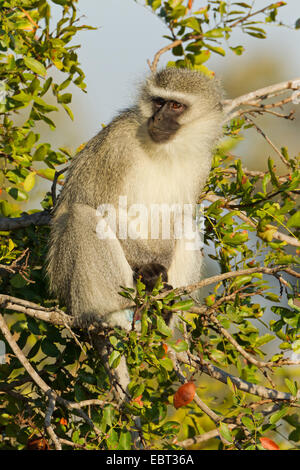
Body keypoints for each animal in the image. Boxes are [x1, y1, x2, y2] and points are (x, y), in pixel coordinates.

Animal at [47, 69, 223, 400]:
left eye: (175, 105)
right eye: (157, 101)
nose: (158, 118)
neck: (166, 151)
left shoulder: (200, 163)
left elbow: (178, 217)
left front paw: (159, 280)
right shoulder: (117, 146)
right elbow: (95, 203)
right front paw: (150, 271)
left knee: (189, 225)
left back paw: (161, 315)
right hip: (66, 276)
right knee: (82, 217)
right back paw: (113, 315)